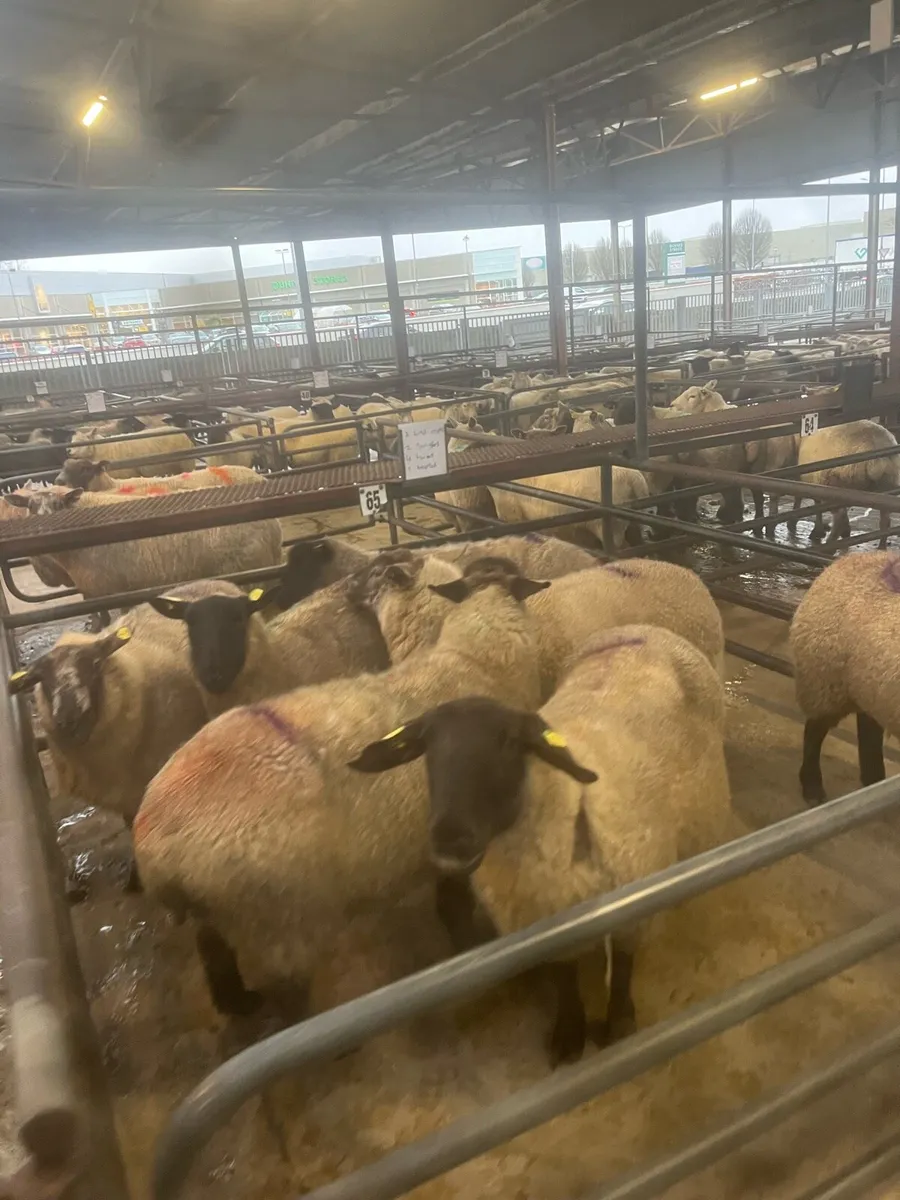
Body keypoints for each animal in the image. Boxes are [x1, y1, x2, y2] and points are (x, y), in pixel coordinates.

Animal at [1, 487, 282, 599]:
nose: (42, 528)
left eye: (58, 505)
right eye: (30, 507)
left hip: (248, 577)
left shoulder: (109, 591)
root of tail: (273, 528)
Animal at [132, 557, 548, 1015]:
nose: (345, 586)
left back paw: (238, 1006)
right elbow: (454, 906)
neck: (470, 658)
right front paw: (469, 946)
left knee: (214, 956)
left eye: (380, 572)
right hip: (274, 923)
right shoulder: (459, 845)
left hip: (219, 917)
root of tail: (150, 837)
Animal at [350, 622, 730, 1063]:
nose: (450, 837)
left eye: (509, 742)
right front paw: (569, 1033)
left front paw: (620, 1024)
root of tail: (646, 628)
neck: (572, 808)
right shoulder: (545, 929)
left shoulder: (633, 907)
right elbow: (565, 980)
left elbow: (622, 971)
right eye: (427, 748)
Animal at [789, 549, 900, 804]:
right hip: (825, 683)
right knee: (814, 732)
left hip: (868, 684)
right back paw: (813, 788)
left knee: (868, 728)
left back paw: (873, 780)